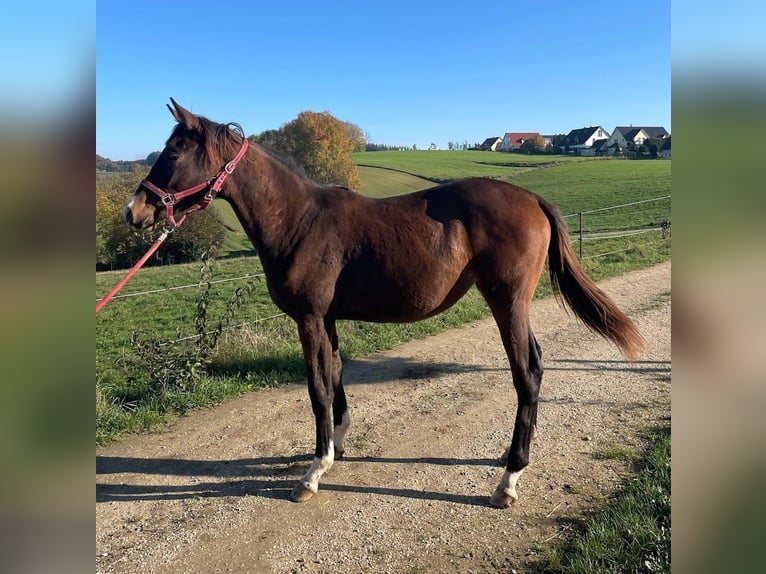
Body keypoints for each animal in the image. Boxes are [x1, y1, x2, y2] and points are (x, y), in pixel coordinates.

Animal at [124, 101, 640, 510]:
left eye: (173, 153)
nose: (134, 212)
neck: (298, 220)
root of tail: (531, 197)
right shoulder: (327, 319)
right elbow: (335, 378)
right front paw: (335, 448)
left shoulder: (309, 319)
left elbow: (316, 389)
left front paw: (313, 471)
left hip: (507, 302)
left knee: (527, 374)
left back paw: (508, 479)